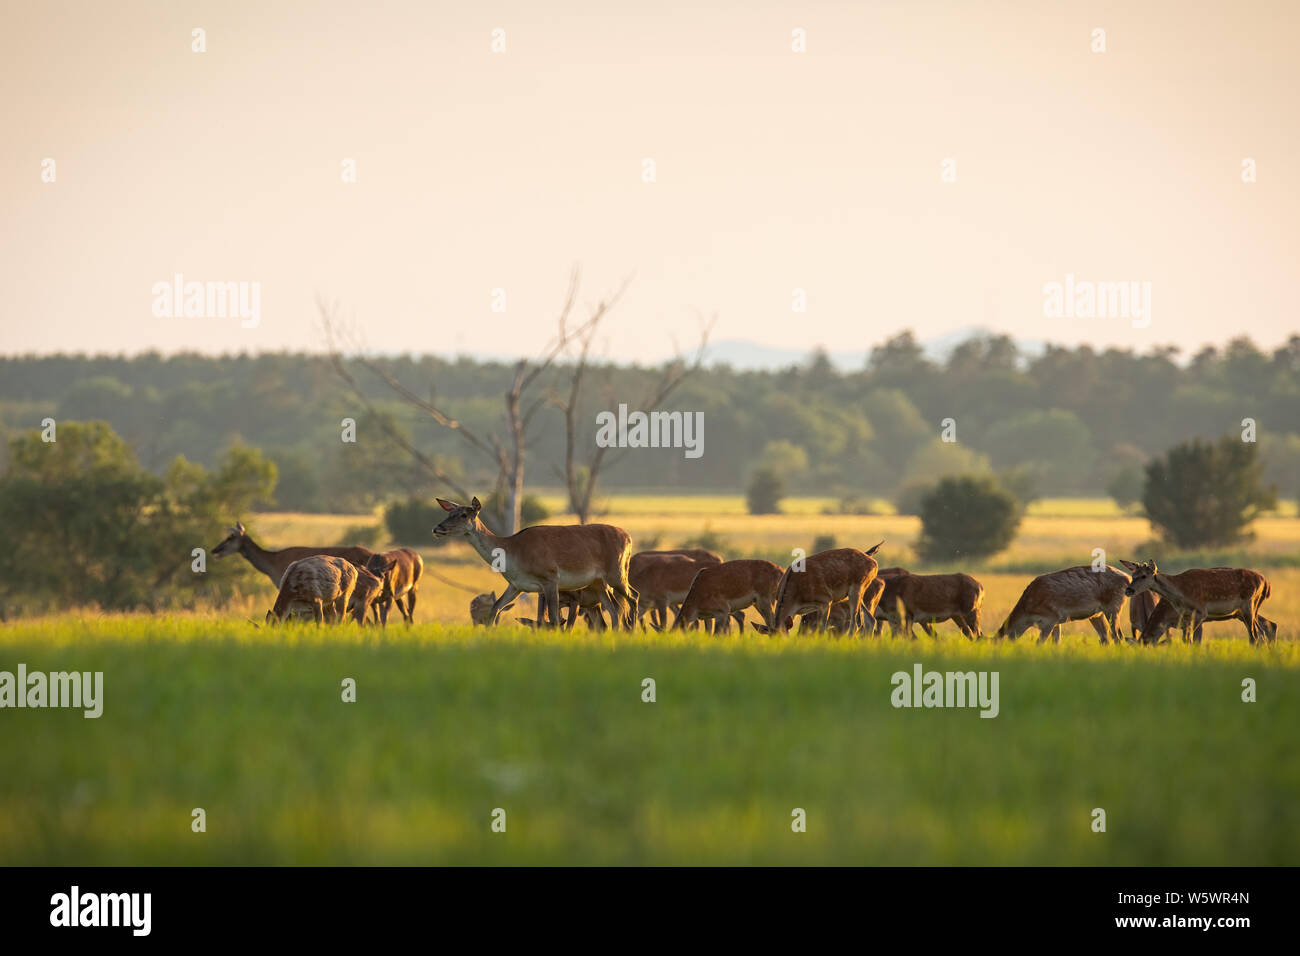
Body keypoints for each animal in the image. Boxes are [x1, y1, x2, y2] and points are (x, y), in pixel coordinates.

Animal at [434, 496, 637, 632]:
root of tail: (629, 537)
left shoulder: (550, 577)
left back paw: (631, 630)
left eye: (463, 514)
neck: (514, 553)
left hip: (616, 572)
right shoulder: (516, 585)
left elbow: (554, 618)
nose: (437, 528)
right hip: (600, 583)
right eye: (449, 512)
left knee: (633, 598)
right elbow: (495, 608)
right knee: (615, 609)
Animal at [993, 564, 1128, 647]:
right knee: (1105, 637)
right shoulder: (1056, 621)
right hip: (1096, 614)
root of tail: (1127, 578)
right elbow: (1057, 642)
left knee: (1118, 636)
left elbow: (1039, 643)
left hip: (1113, 607)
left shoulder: (1050, 618)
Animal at [1118, 561, 1268, 650]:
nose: (1128, 590)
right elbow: (1186, 639)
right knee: (1261, 633)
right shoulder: (1185, 616)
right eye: (1133, 575)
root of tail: (1266, 582)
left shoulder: (1201, 611)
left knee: (1255, 636)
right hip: (1247, 611)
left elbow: (1190, 639)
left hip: (1249, 605)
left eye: (1143, 576)